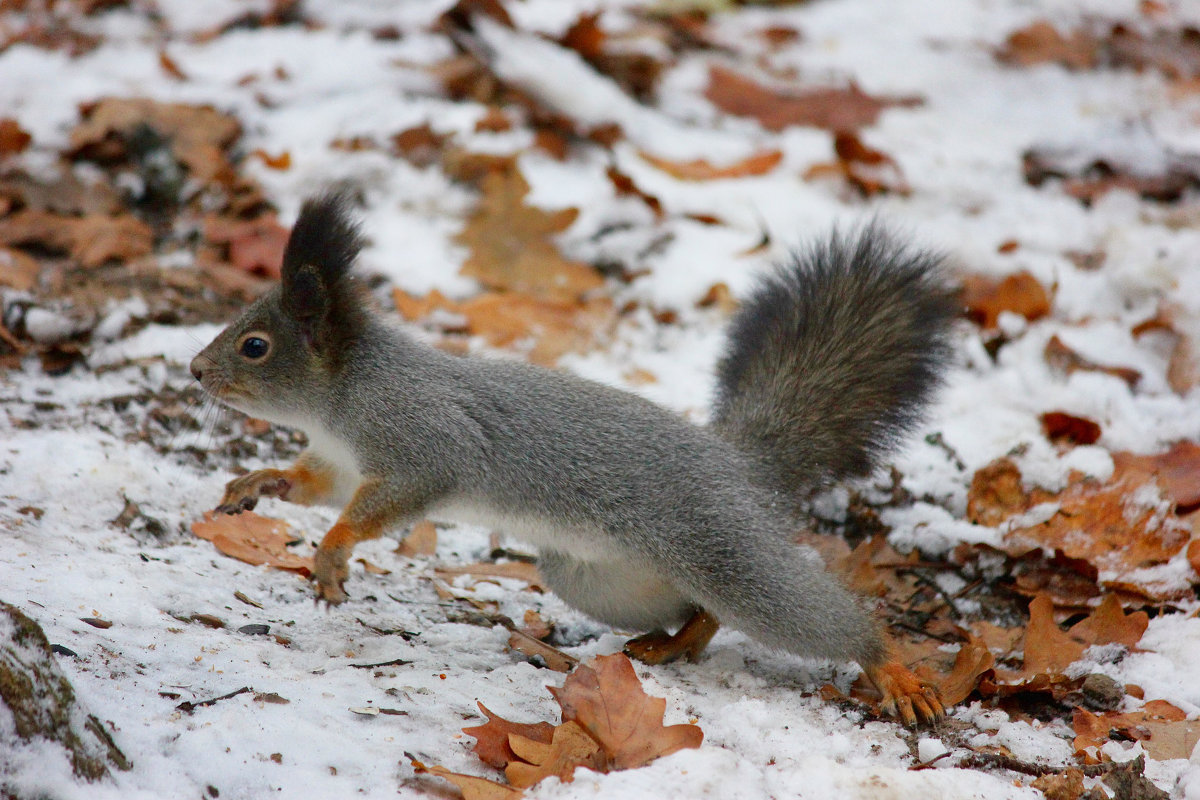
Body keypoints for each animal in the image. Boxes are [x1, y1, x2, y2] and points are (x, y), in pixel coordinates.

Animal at [187, 191, 955, 724]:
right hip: (599, 577)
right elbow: (306, 483)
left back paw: (889, 666)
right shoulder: (340, 463)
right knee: (699, 610)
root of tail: (740, 464)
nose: (195, 370)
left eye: (255, 345)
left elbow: (382, 502)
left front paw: (332, 553)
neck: (341, 399)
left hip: (719, 544)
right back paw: (672, 644)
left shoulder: (422, 442)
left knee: (790, 608)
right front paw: (254, 482)